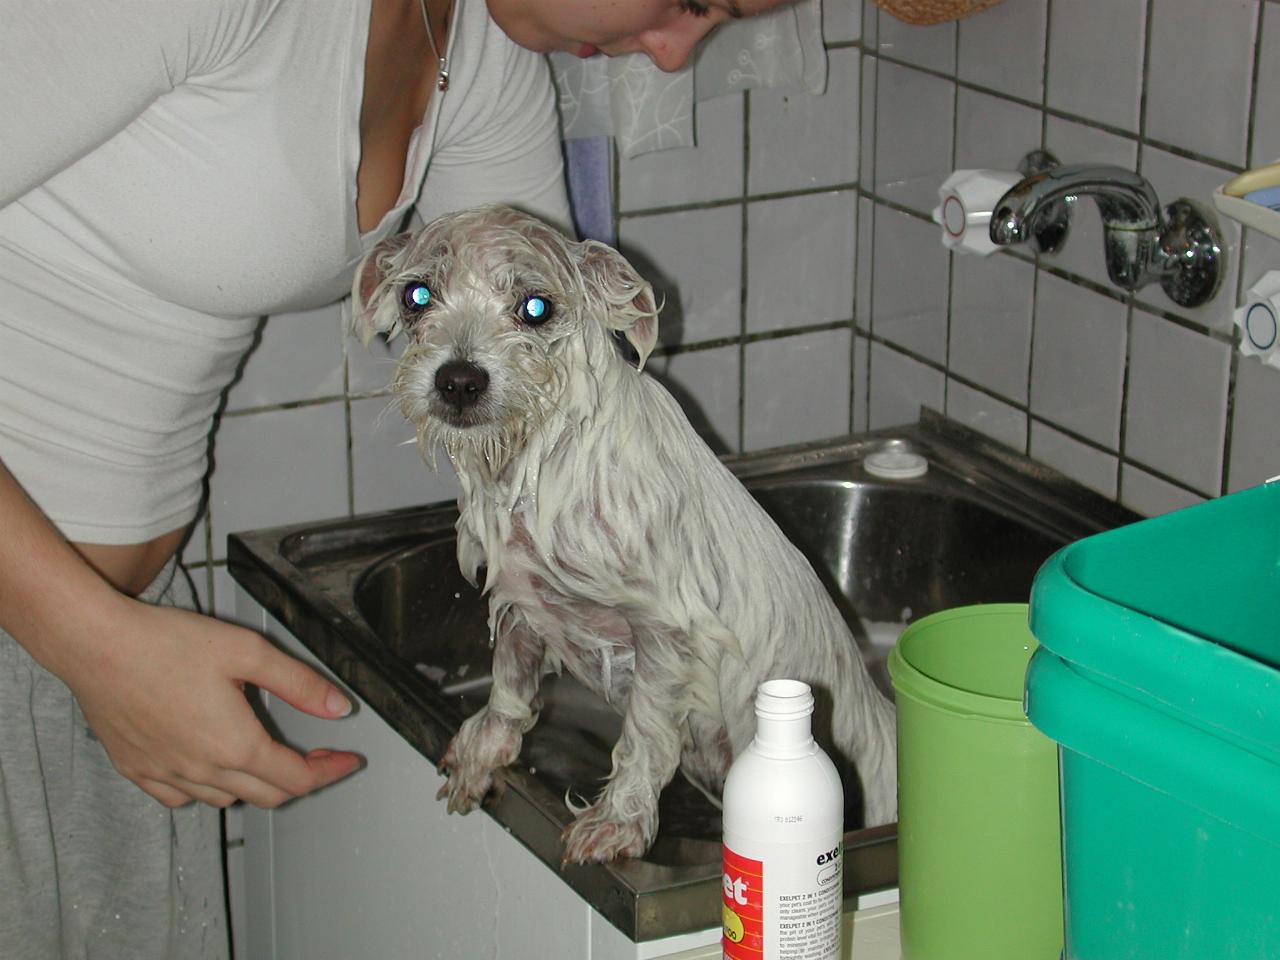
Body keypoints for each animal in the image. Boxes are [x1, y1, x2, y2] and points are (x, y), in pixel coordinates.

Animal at [350, 203, 890, 865]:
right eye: (418, 295)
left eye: (536, 307)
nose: (458, 381)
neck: (543, 465)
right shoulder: (522, 593)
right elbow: (510, 678)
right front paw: (487, 745)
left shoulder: (664, 631)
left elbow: (646, 736)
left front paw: (620, 822)